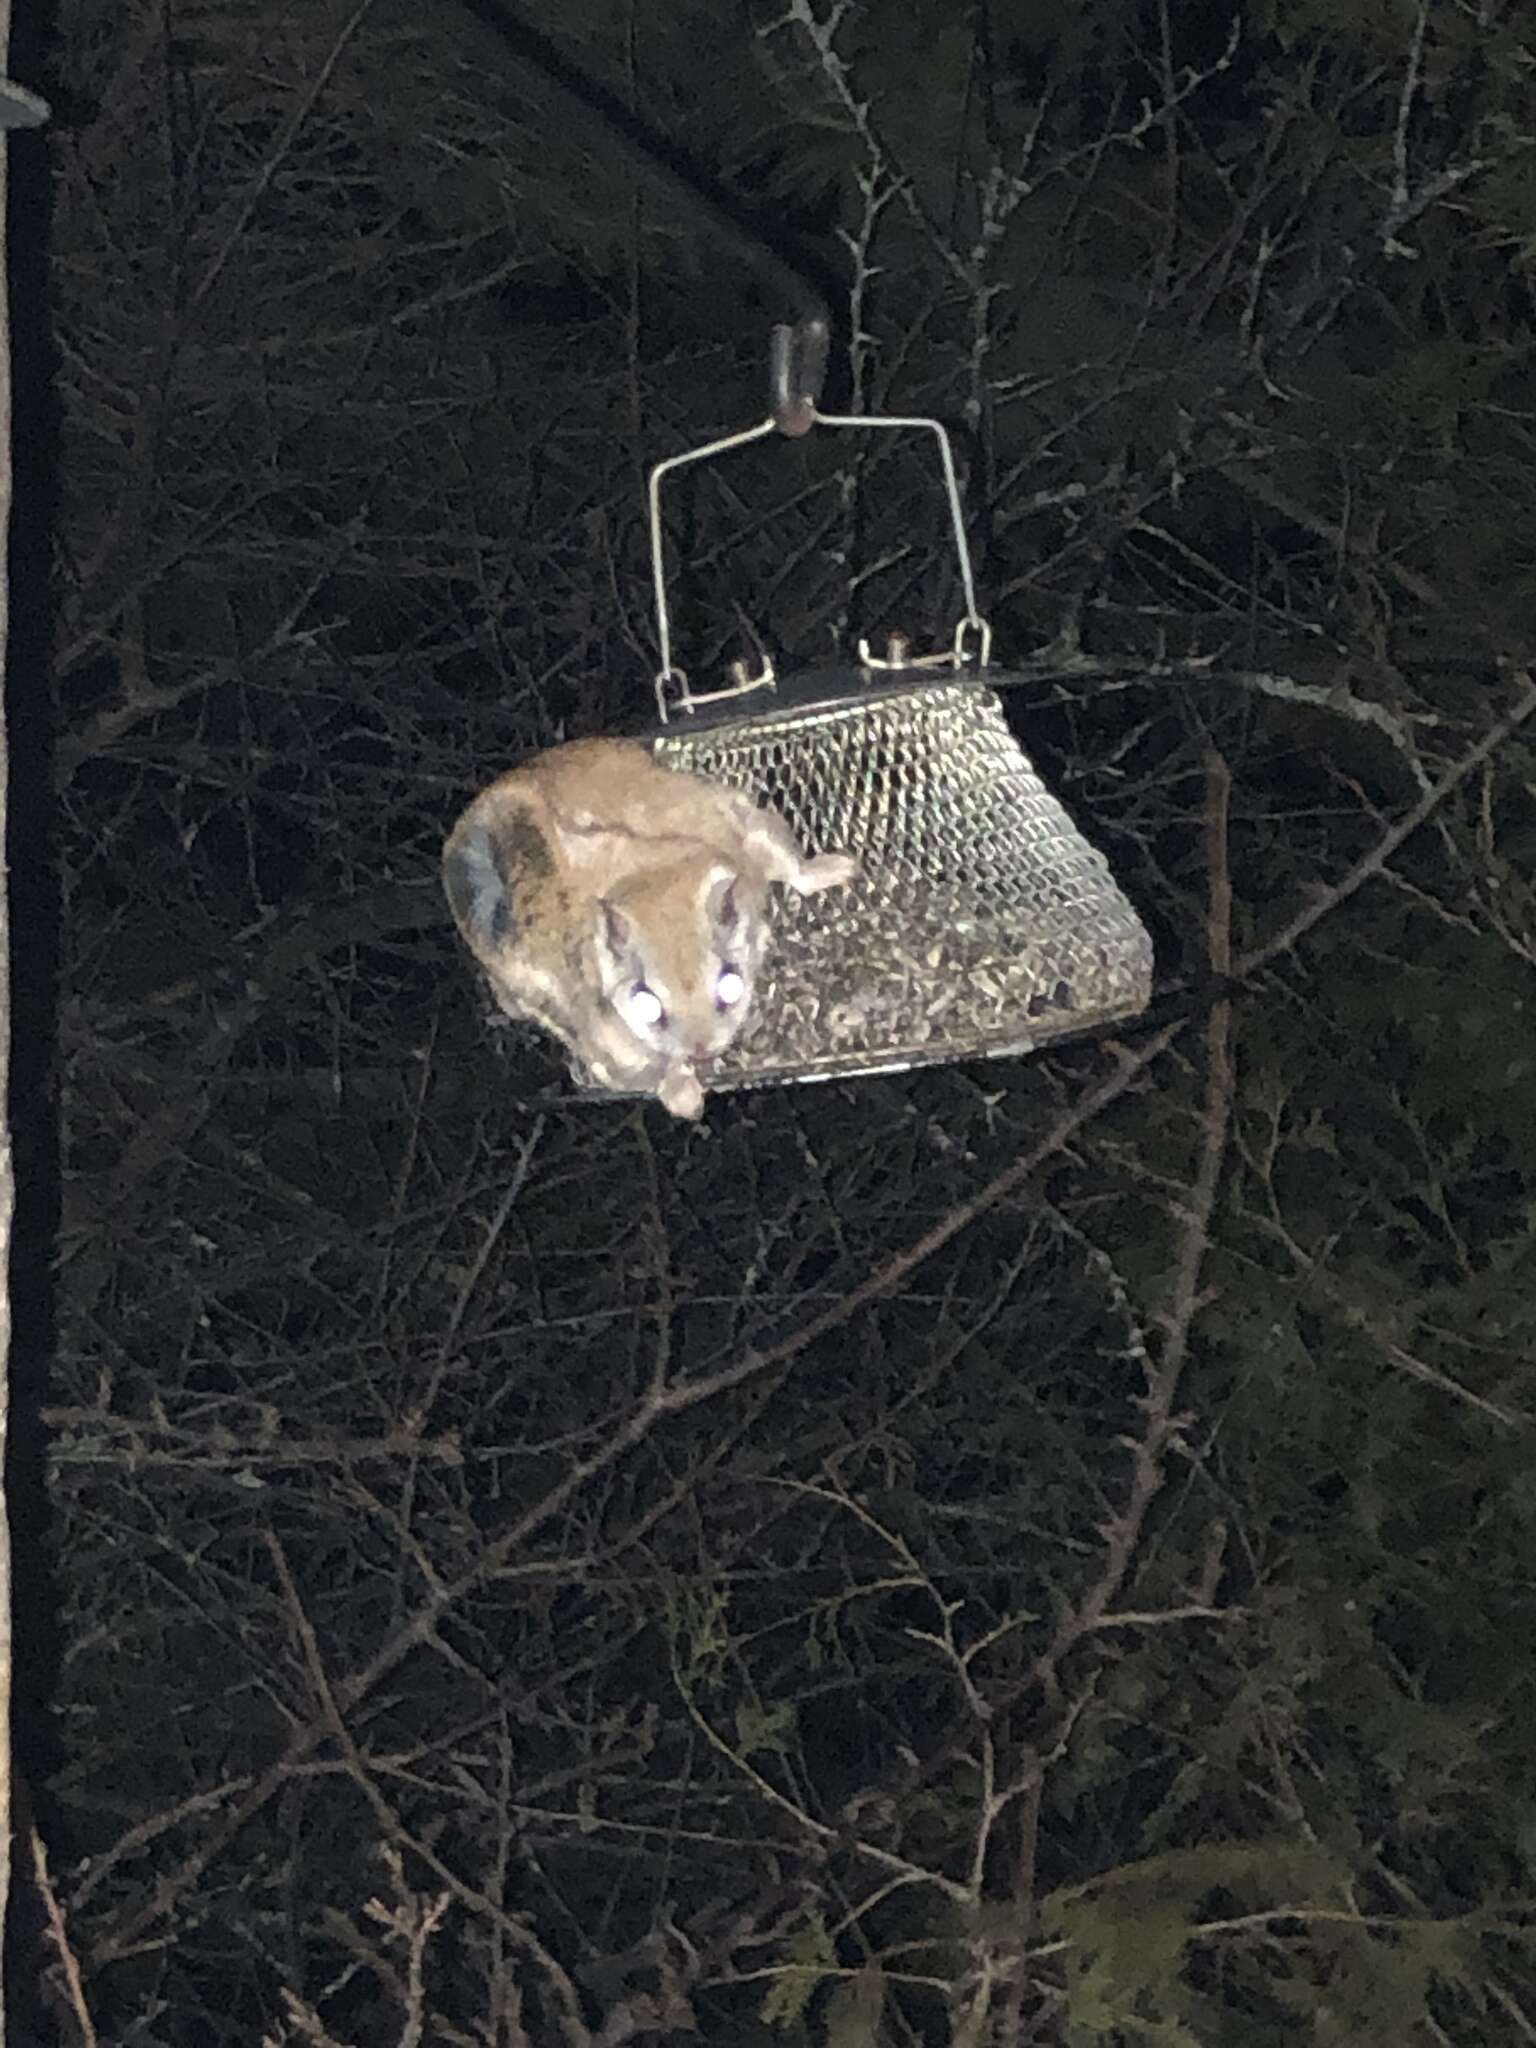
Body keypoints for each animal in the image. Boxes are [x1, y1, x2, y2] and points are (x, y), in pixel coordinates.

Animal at [444, 741, 860, 1122]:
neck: (644, 877)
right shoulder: (600, 1034)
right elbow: (643, 1067)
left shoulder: (744, 832)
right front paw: (683, 1096)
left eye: (730, 984)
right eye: (646, 1003)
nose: (701, 1050)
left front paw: (831, 869)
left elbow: (790, 865)